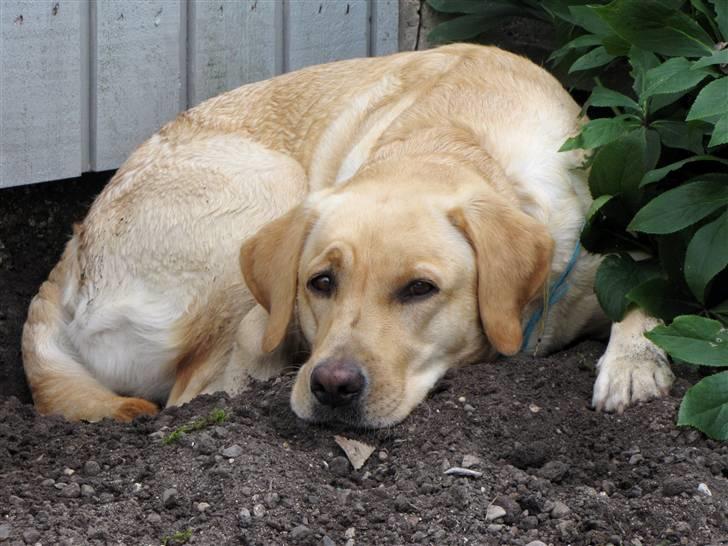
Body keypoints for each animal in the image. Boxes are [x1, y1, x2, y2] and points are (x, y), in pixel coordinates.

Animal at [19, 43, 672, 424]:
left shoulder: (599, 261)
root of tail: (71, 250)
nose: (331, 387)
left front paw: (634, 365)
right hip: (267, 187)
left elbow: (652, 287)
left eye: (419, 289)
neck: (455, 141)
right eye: (321, 282)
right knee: (200, 387)